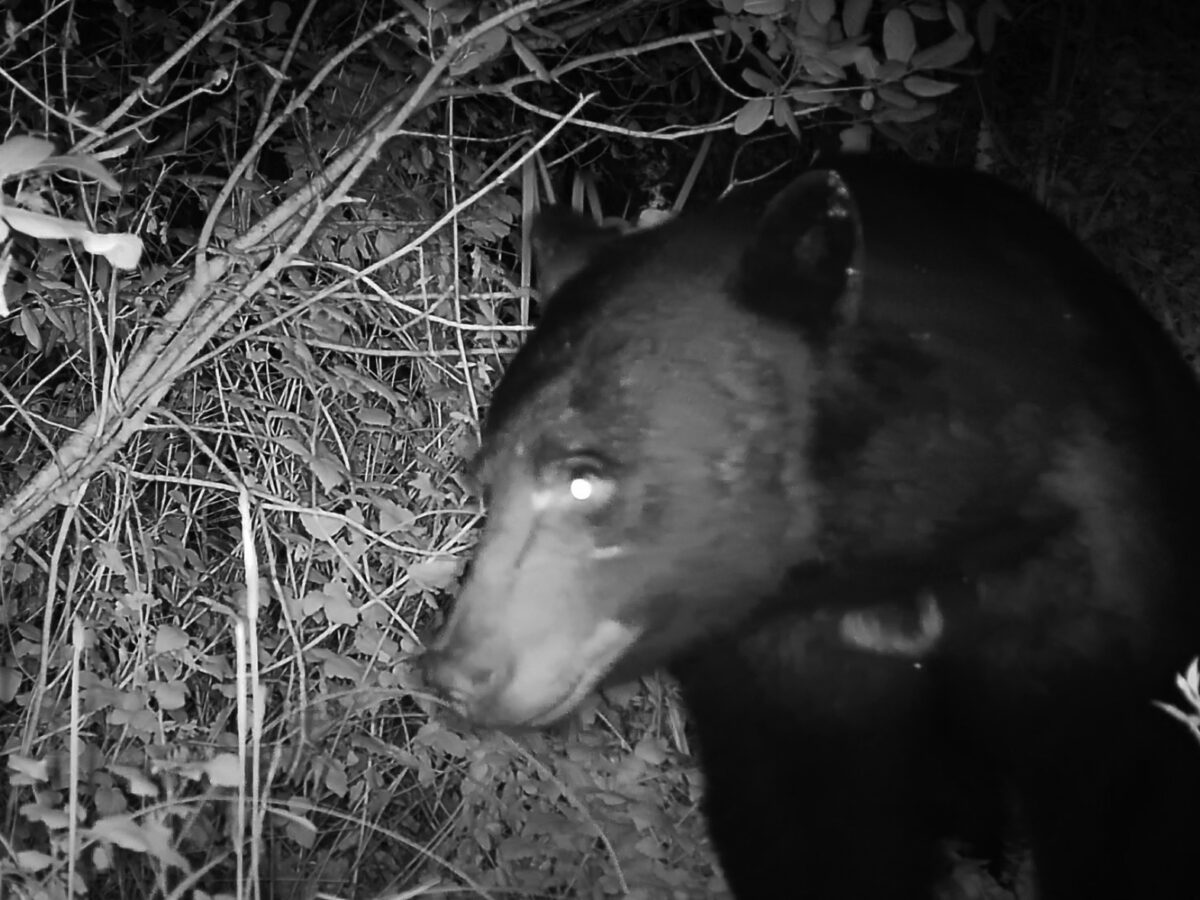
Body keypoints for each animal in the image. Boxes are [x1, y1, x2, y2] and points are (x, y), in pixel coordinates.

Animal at [421, 157, 1200, 900]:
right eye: (484, 483)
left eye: (583, 477)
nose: (456, 672)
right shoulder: (790, 676)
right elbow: (813, 832)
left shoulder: (1089, 578)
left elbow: (1127, 795)